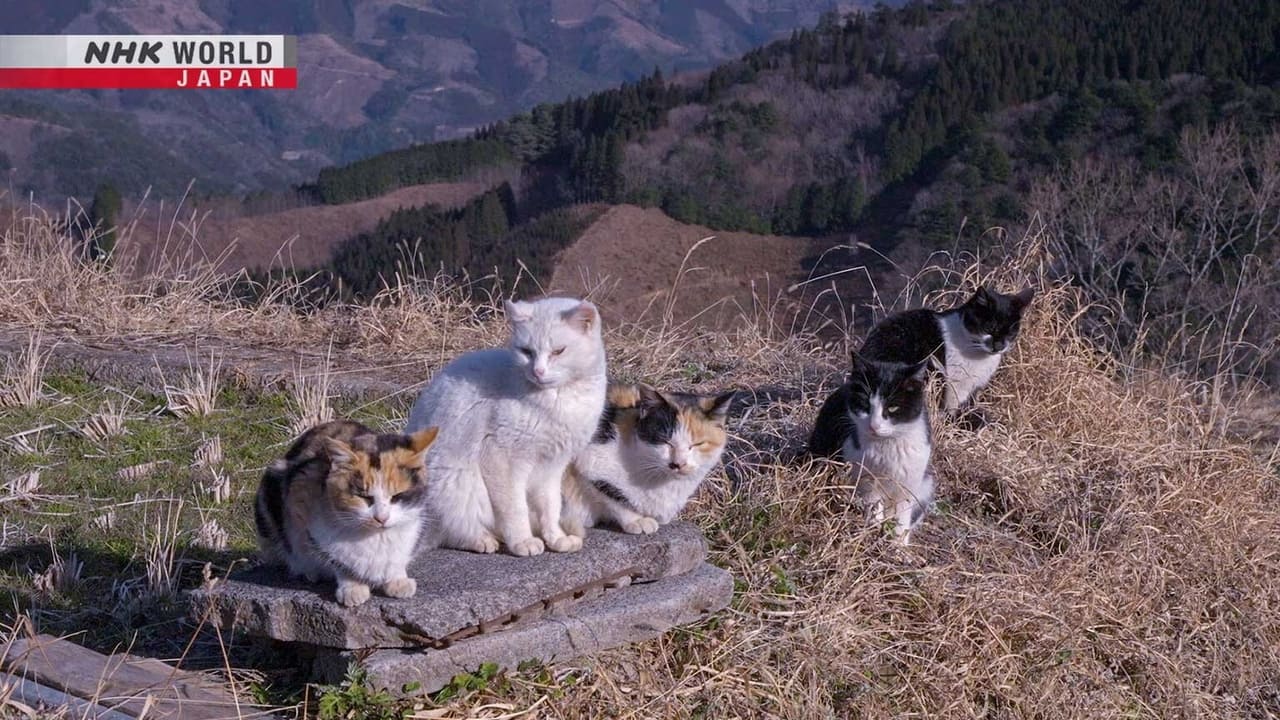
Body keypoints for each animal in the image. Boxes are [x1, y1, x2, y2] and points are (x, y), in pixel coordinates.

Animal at [252, 415, 442, 604]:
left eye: (397, 496)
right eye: (364, 496)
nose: (381, 518)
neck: (376, 536)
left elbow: (399, 556)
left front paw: (398, 581)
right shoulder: (300, 498)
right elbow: (336, 557)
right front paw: (352, 588)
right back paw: (309, 572)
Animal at [409, 295, 609, 556]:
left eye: (558, 351)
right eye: (526, 352)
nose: (538, 371)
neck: (561, 398)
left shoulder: (552, 466)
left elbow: (551, 506)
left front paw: (556, 538)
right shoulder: (501, 458)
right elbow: (515, 508)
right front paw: (523, 542)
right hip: (456, 482)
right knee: (452, 531)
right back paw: (483, 540)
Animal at [565, 384, 737, 535]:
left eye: (697, 444)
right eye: (665, 441)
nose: (678, 464)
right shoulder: (590, 460)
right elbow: (613, 495)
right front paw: (637, 520)